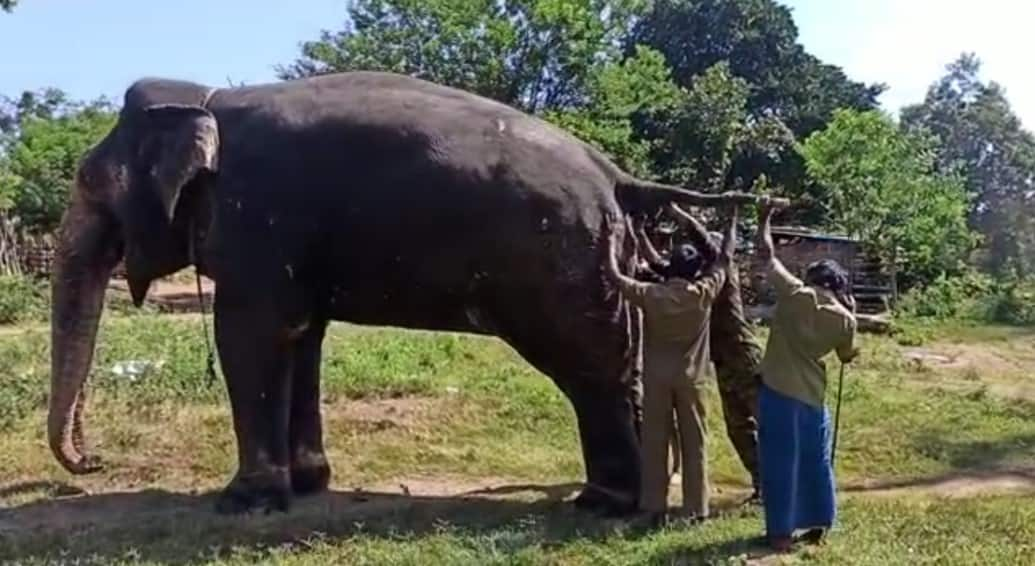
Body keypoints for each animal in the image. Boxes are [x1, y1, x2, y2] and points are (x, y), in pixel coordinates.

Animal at [48, 69, 757, 513]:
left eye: (88, 182)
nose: (92, 462)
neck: (206, 97)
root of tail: (615, 176)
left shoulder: (258, 221)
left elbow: (250, 335)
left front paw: (241, 504)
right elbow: (301, 337)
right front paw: (306, 487)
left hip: (565, 268)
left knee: (590, 372)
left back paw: (607, 507)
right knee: (617, 369)